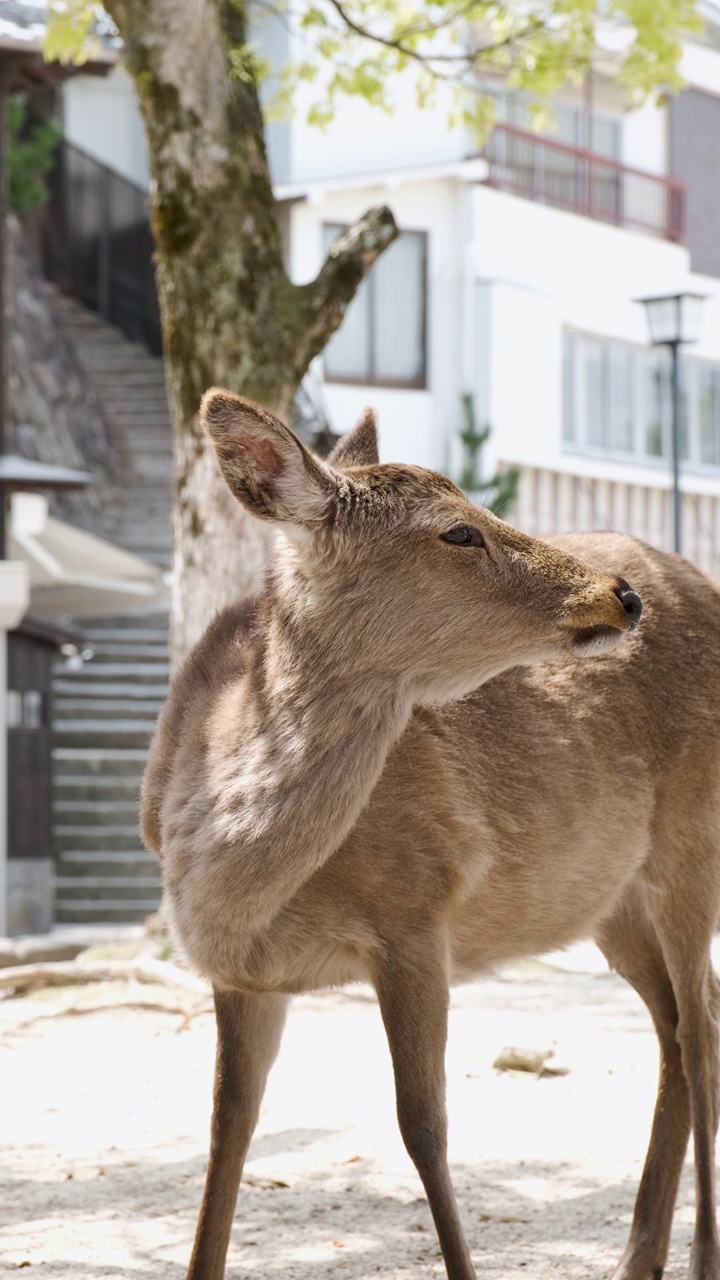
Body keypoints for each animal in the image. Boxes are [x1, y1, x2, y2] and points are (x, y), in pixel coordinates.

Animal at [139, 389, 717, 1280]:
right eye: (457, 531)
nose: (621, 596)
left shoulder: (416, 908)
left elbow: (424, 1126)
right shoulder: (241, 973)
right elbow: (227, 1131)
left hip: (694, 837)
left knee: (700, 1031)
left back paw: (696, 1257)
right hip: (605, 898)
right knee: (675, 1027)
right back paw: (637, 1258)